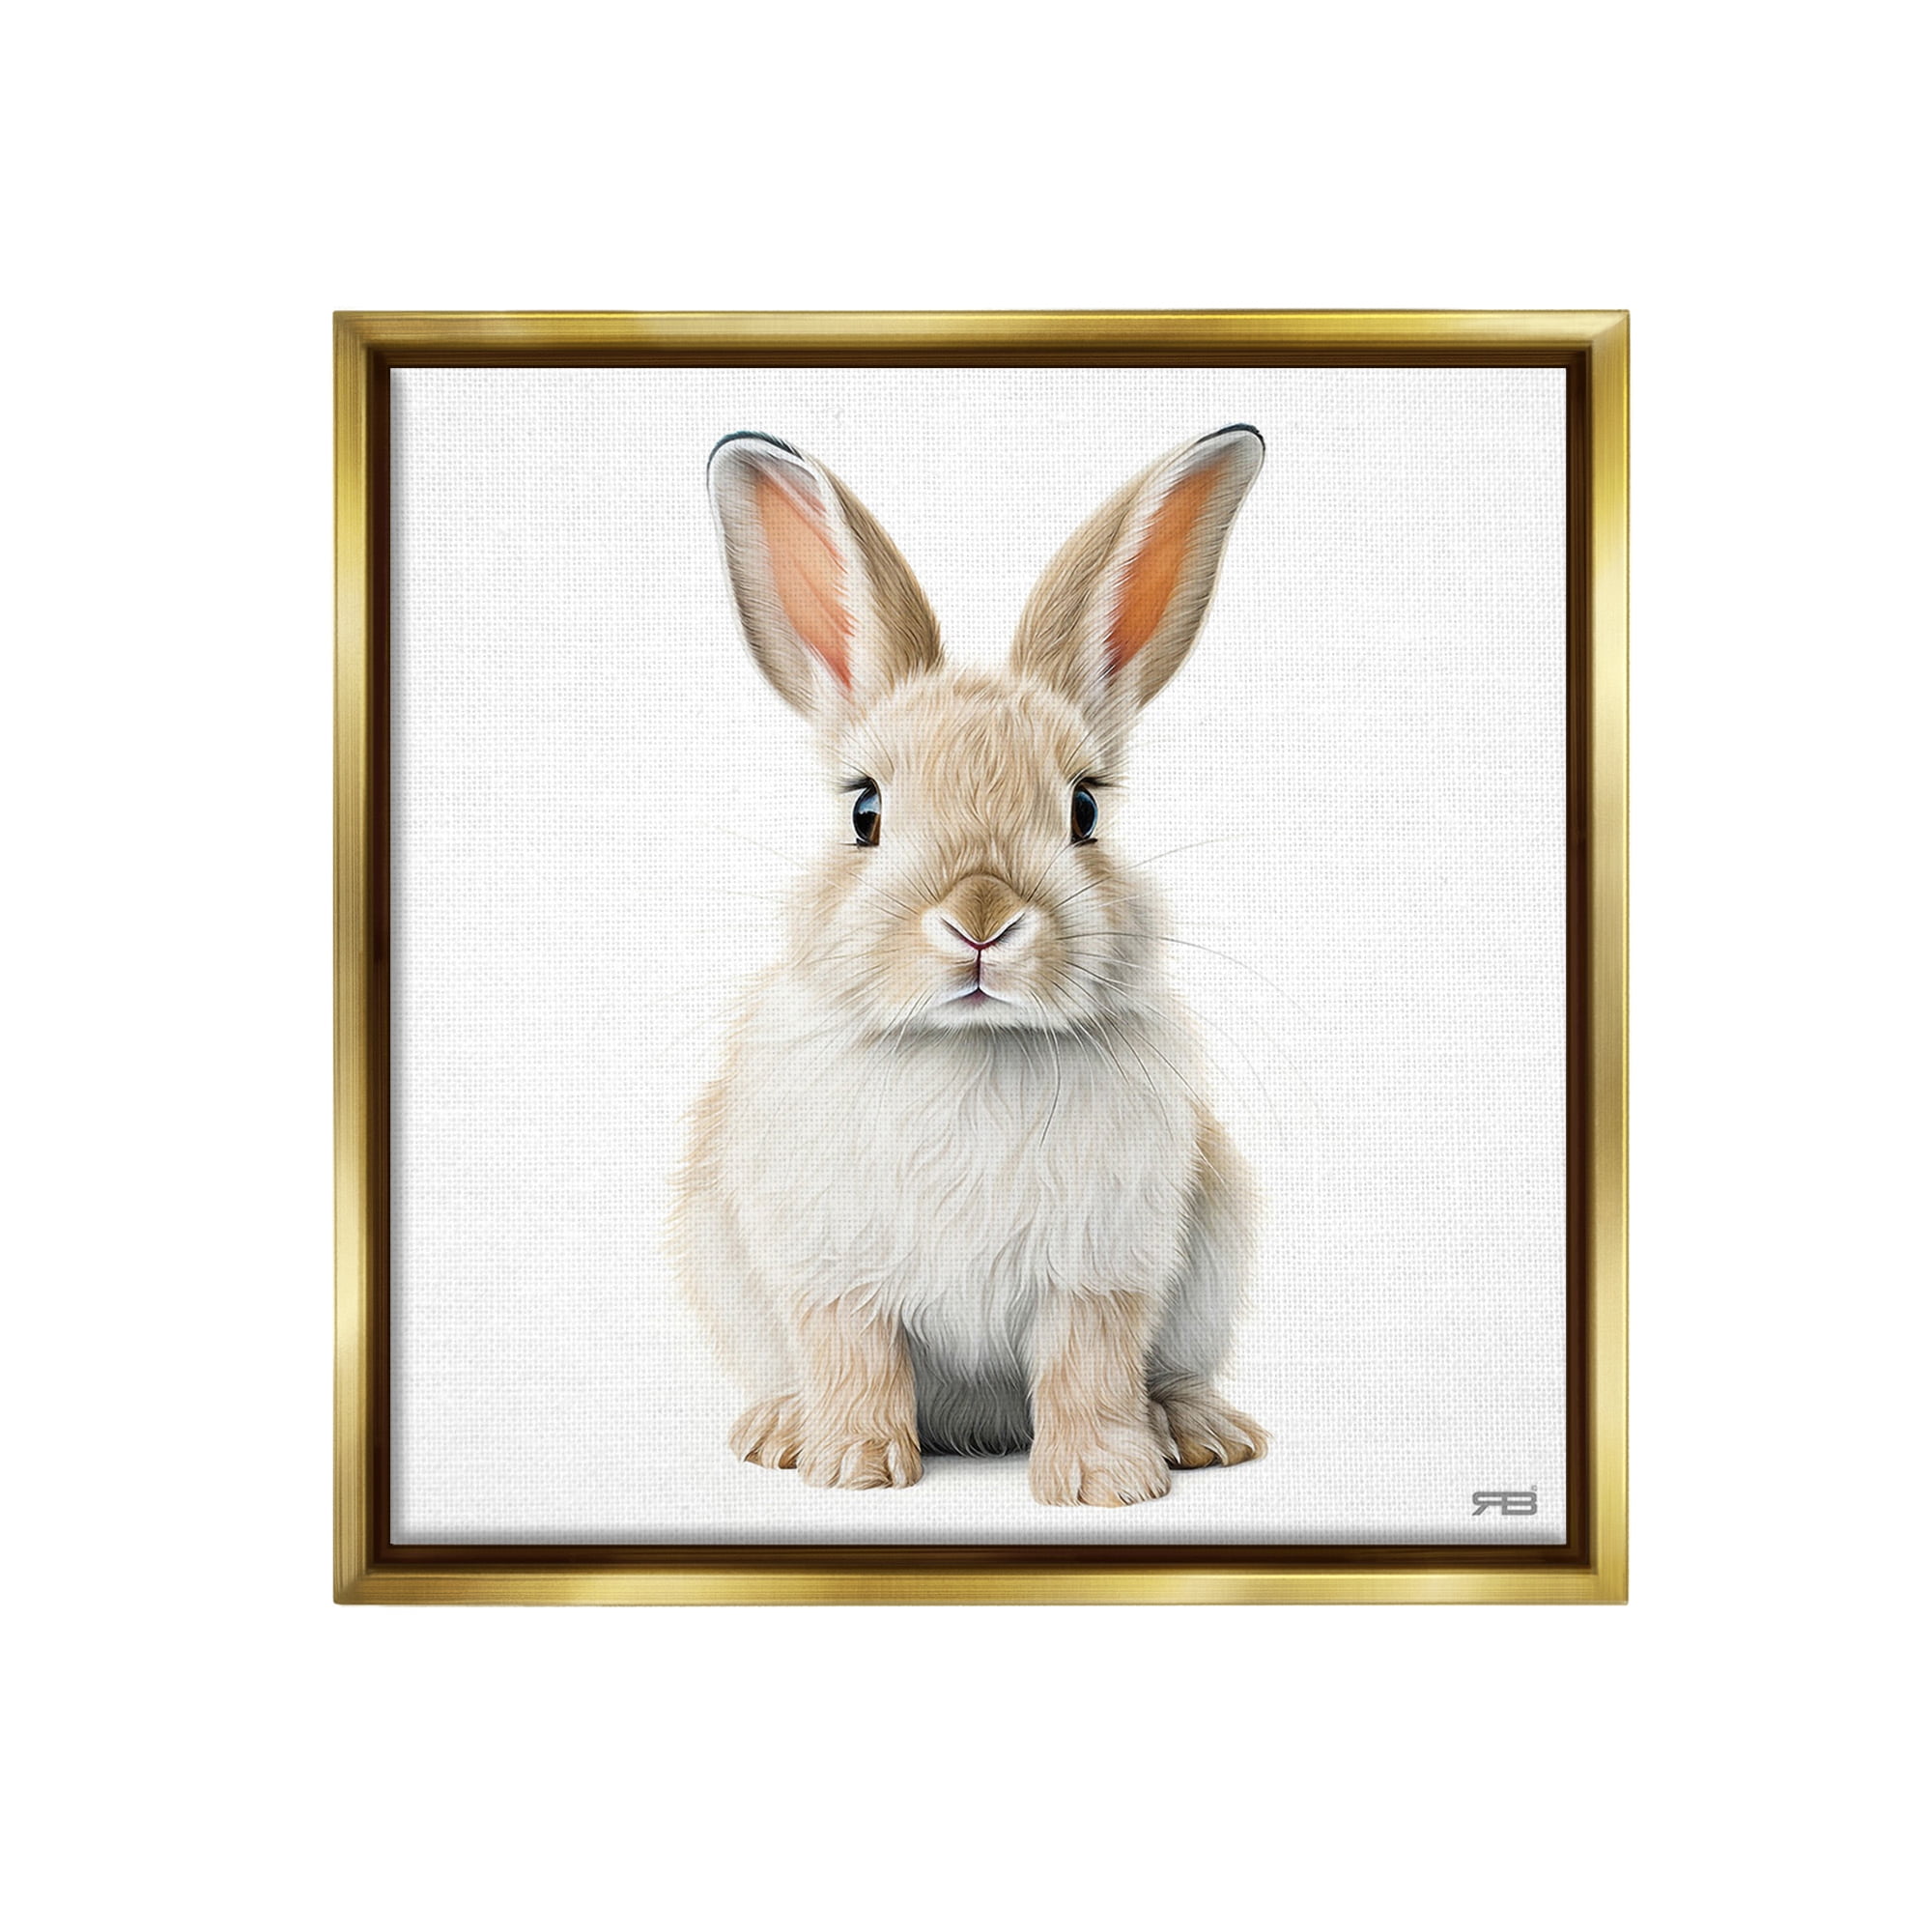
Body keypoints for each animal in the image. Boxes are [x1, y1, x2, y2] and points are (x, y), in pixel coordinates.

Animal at [671, 424, 1269, 1506]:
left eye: (1084, 809)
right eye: (864, 811)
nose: (980, 918)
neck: (972, 1043)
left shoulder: (1100, 1267)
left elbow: (1087, 1366)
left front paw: (1104, 1483)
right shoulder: (834, 1268)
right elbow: (855, 1357)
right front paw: (854, 1467)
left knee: (1165, 1372)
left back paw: (1195, 1430)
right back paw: (780, 1428)